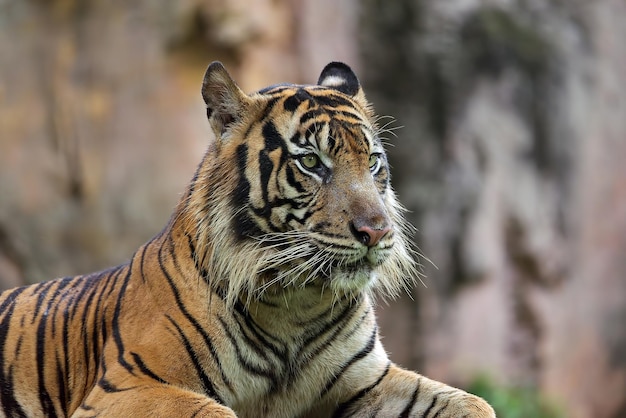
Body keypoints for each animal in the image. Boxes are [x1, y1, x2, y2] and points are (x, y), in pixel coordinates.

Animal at [0, 62, 492, 418]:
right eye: (311, 162)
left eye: (372, 161)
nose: (377, 231)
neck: (296, 304)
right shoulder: (129, 386)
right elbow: (215, 412)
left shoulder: (368, 382)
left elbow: (474, 403)